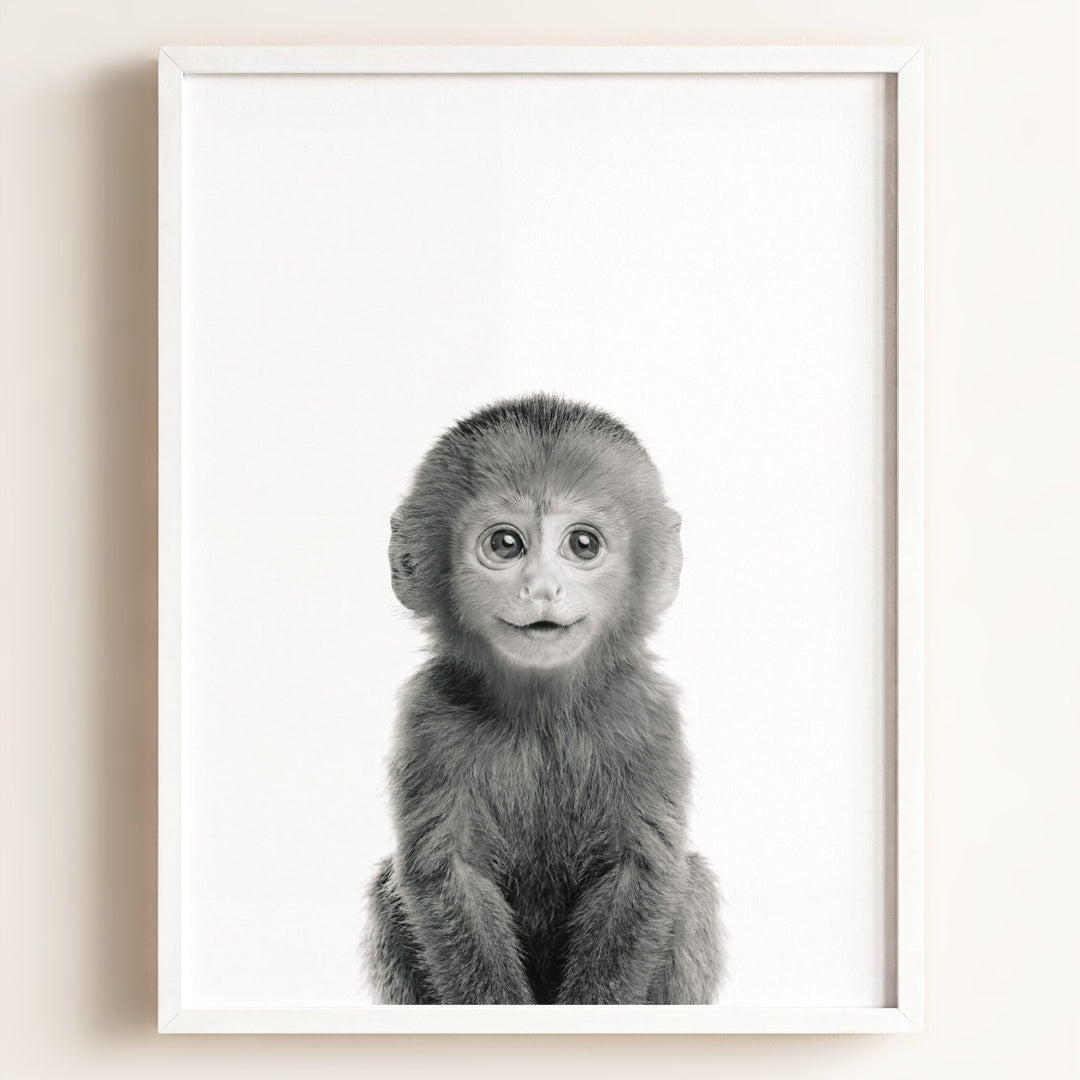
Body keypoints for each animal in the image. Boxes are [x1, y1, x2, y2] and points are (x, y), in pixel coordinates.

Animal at [364, 394, 722, 1005]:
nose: (541, 588)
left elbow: (642, 871)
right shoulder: (429, 716)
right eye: (506, 544)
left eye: (583, 544)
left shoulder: (647, 713)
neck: (542, 716)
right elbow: (447, 874)